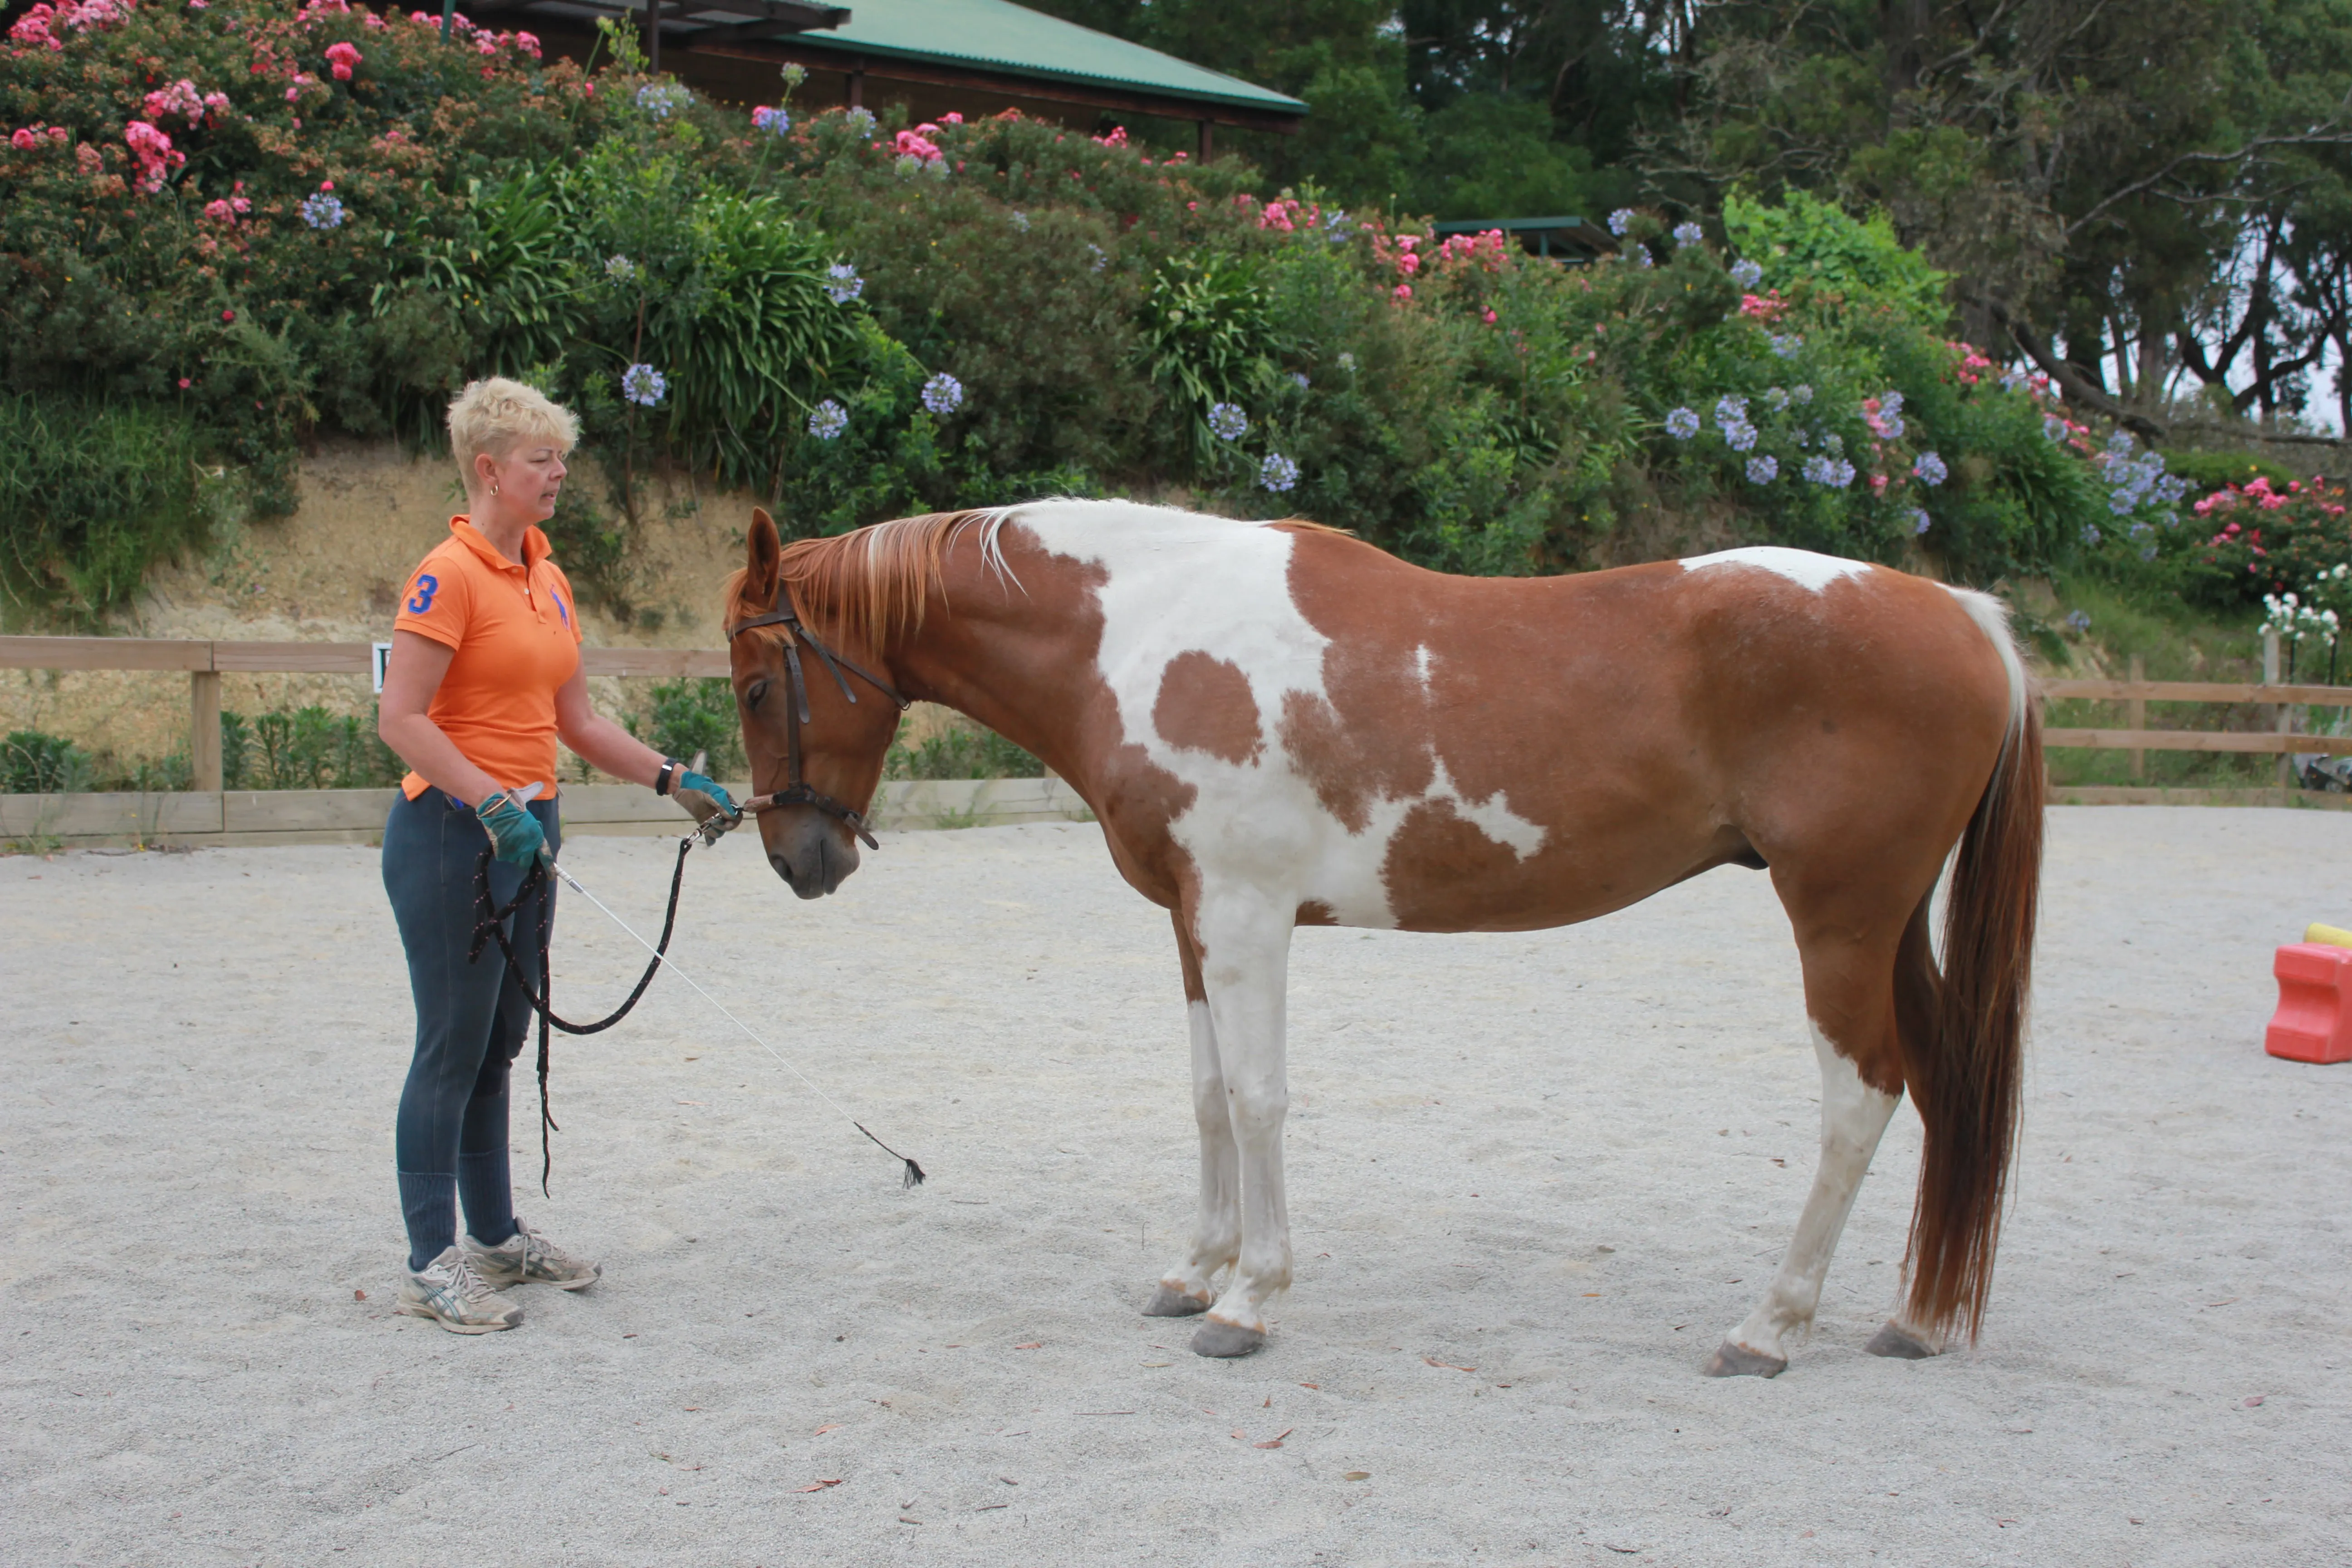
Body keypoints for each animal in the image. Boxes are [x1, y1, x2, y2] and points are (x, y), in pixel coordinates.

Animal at [720, 500, 2041, 1372]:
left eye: (752, 685)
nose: (796, 858)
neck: (1144, 632)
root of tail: (1965, 615)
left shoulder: (1247, 915)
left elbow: (1258, 1100)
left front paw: (1248, 1300)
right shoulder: (1194, 922)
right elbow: (1207, 1096)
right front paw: (1192, 1271)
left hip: (1840, 922)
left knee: (1860, 1099)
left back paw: (1768, 1326)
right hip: (1889, 930)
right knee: (1941, 1087)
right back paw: (1916, 1319)